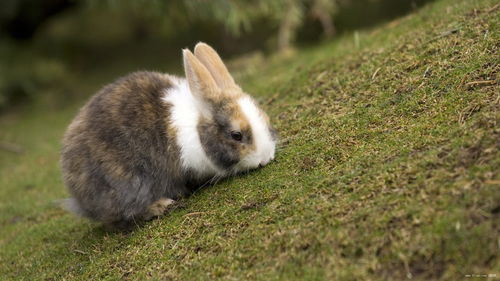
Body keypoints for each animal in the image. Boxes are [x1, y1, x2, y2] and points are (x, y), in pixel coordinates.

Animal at [60, 42, 278, 229]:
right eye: (236, 135)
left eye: (265, 118)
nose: (265, 158)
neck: (198, 129)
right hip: (127, 185)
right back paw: (161, 206)